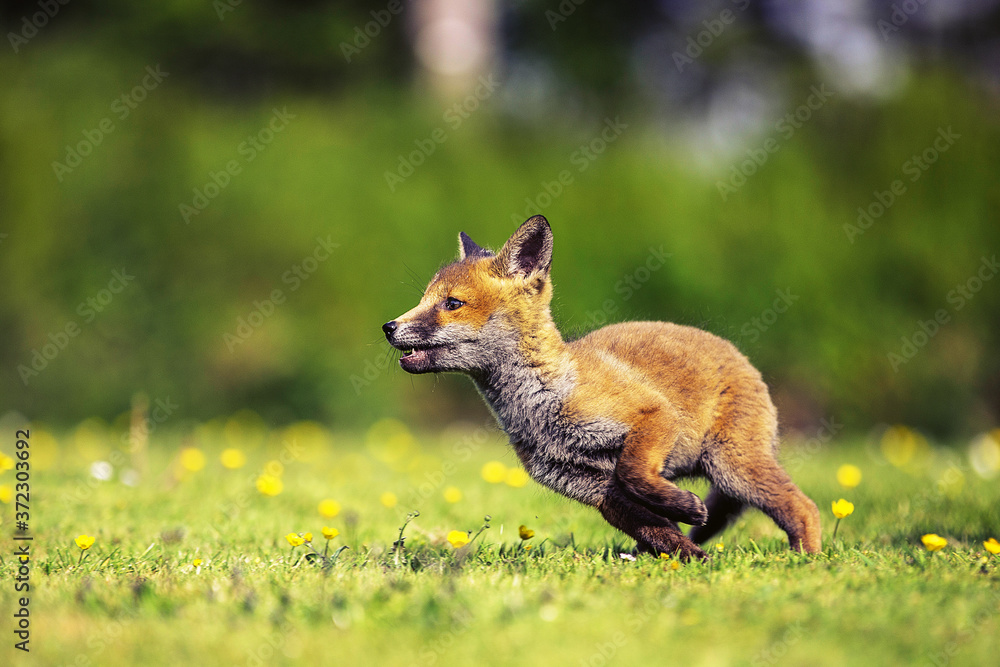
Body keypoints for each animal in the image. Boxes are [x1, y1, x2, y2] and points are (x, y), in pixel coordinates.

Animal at [382, 215, 821, 559]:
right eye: (424, 298)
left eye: (452, 304)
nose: (388, 327)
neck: (545, 401)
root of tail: (740, 356)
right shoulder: (588, 485)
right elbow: (655, 528)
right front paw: (691, 559)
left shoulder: (654, 416)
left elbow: (634, 472)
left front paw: (686, 511)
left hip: (732, 467)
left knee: (805, 508)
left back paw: (806, 561)